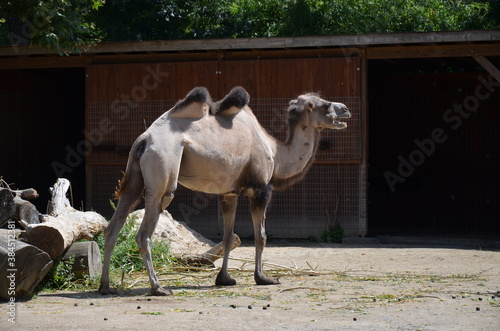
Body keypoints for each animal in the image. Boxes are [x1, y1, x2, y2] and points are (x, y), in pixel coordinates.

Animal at [98, 85, 352, 296]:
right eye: (325, 105)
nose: (346, 110)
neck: (276, 153)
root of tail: (144, 138)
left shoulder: (229, 193)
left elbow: (229, 237)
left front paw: (224, 279)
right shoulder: (260, 189)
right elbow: (261, 236)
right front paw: (263, 278)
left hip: (135, 179)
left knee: (113, 227)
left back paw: (105, 286)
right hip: (162, 168)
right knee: (145, 230)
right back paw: (158, 287)